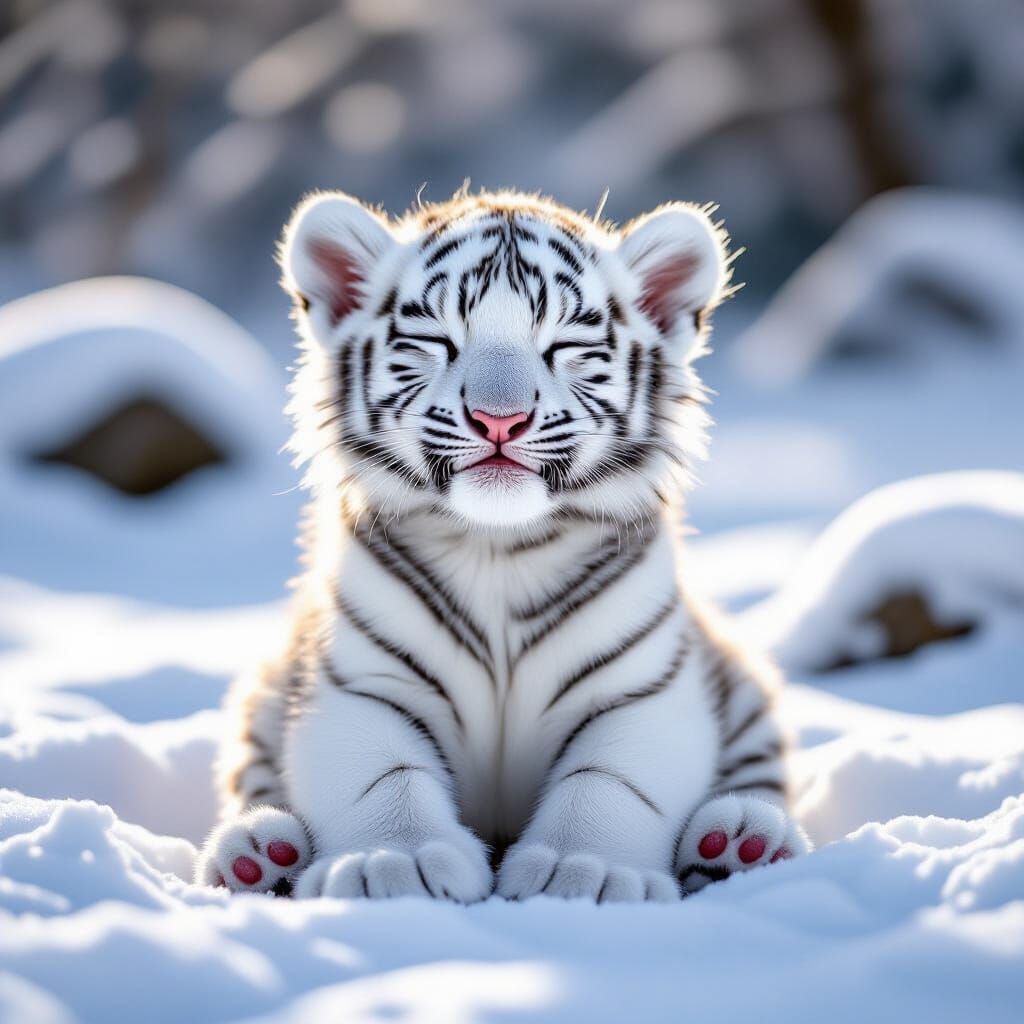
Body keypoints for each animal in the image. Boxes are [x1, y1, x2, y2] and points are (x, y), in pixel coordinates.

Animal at [195, 188, 810, 903]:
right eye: (436, 340)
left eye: (565, 344)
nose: (499, 419)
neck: (495, 548)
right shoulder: (361, 683)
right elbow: (384, 776)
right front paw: (394, 864)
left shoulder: (640, 689)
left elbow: (609, 781)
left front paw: (586, 874)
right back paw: (261, 857)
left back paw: (740, 844)